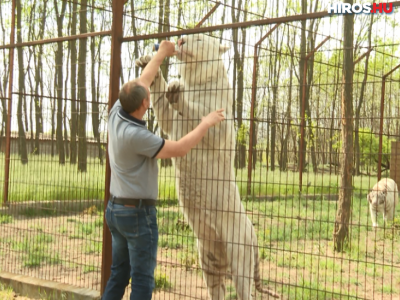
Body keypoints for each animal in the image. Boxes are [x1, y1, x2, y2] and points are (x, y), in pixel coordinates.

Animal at [136, 34, 280, 298]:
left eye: (199, 38)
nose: (181, 40)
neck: (196, 79)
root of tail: (253, 235)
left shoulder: (219, 127)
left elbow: (200, 114)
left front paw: (176, 90)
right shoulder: (170, 123)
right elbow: (163, 103)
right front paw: (148, 64)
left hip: (239, 254)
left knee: (245, 290)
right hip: (208, 260)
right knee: (218, 289)